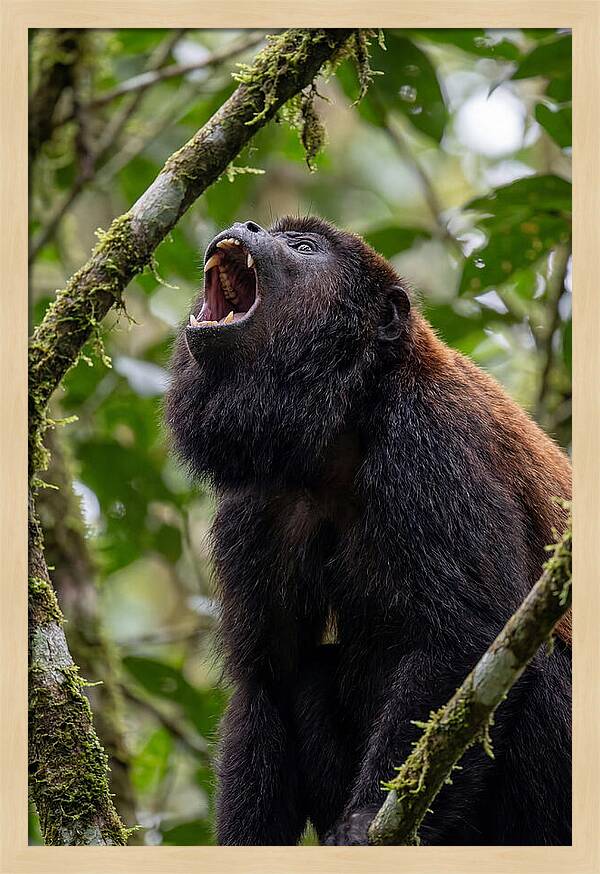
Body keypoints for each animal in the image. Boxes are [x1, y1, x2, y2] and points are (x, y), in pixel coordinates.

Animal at [165, 216, 571, 846]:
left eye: (304, 248)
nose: (247, 224)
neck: (346, 421)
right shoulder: (257, 502)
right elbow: (267, 679)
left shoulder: (430, 440)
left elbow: (466, 635)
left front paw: (361, 822)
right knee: (307, 673)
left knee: (543, 663)